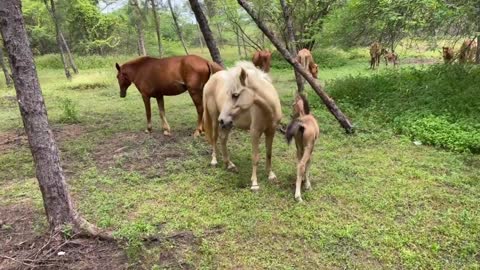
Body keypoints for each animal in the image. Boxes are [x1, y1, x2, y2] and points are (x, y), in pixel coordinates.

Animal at [202, 62, 284, 191]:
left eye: (235, 95)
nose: (222, 119)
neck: (268, 109)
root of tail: (212, 78)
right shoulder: (255, 132)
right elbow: (255, 157)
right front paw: (254, 183)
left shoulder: (271, 131)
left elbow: (269, 153)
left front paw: (270, 175)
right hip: (215, 118)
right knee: (215, 138)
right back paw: (214, 161)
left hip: (228, 124)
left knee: (223, 139)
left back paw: (229, 164)